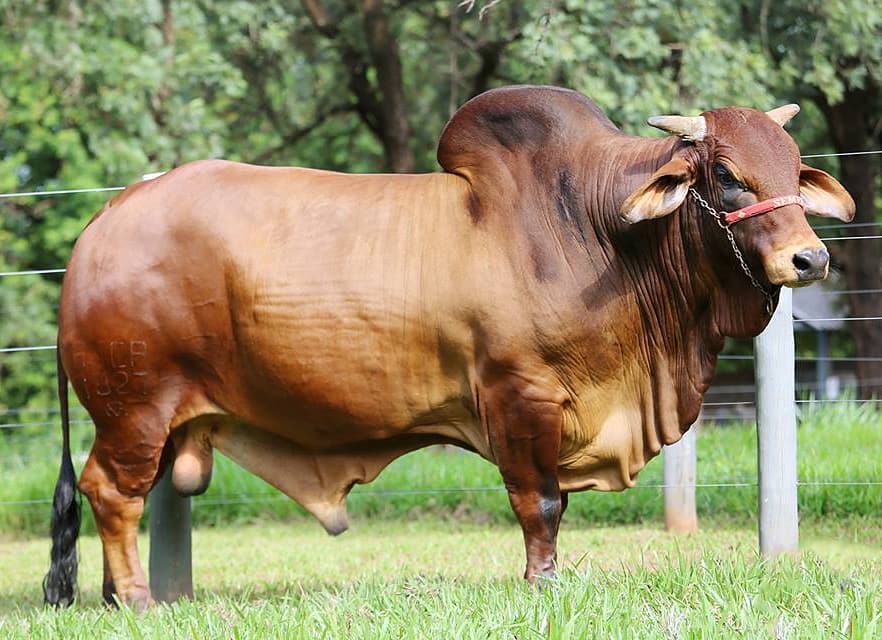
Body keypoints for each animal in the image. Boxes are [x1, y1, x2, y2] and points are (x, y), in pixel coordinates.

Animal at [43, 86, 852, 608]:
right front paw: (542, 585)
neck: (598, 231)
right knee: (111, 493)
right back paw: (138, 599)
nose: (809, 259)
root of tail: (104, 223)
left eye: (793, 168)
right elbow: (542, 504)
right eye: (728, 174)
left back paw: (115, 597)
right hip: (135, 409)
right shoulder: (521, 398)